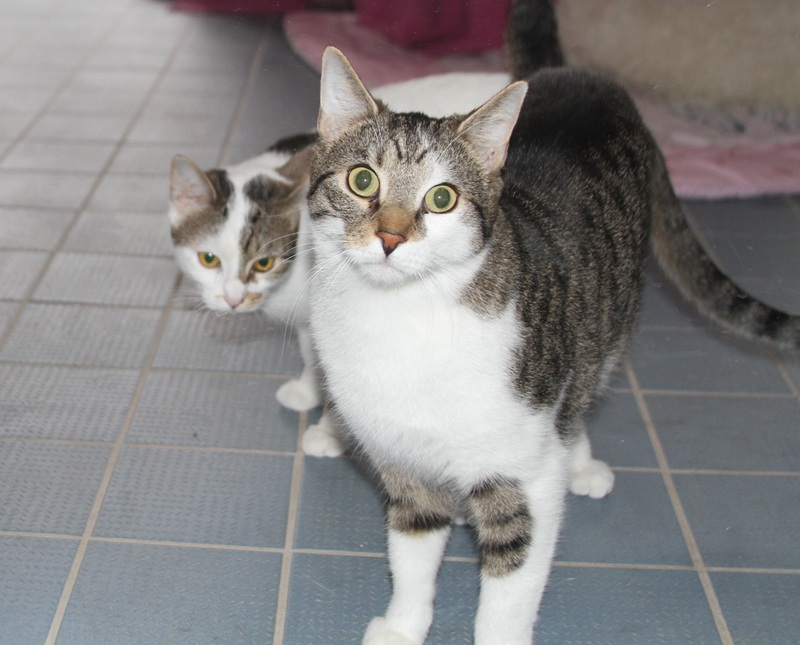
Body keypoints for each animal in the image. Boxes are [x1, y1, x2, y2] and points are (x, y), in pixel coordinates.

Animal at [304, 43, 800, 645]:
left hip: (606, 323)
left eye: (442, 198)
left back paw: (579, 463)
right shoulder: (404, 464)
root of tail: (582, 74)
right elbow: (412, 551)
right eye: (362, 180)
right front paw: (402, 626)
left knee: (580, 393)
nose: (391, 238)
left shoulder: (526, 477)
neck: (399, 317)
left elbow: (511, 587)